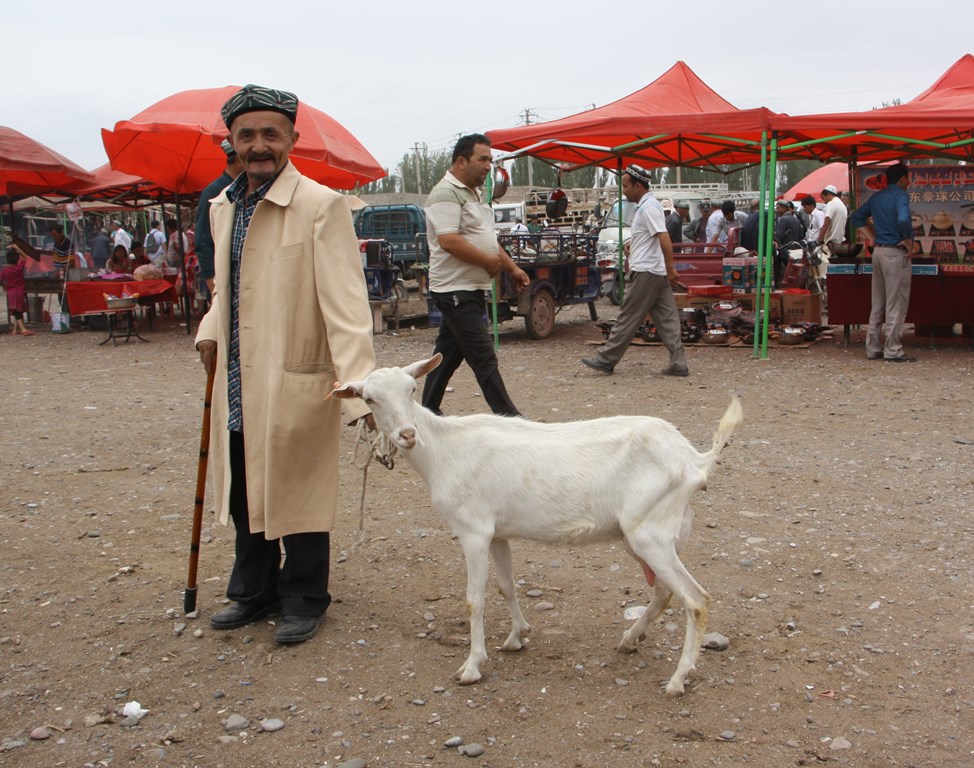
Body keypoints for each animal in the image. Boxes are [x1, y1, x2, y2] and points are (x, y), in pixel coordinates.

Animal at [332, 354, 744, 696]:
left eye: (412, 389)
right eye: (369, 399)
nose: (407, 434)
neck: (444, 452)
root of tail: (694, 459)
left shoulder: (473, 531)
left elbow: (474, 600)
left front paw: (472, 666)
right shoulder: (496, 533)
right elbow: (506, 586)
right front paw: (517, 636)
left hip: (650, 534)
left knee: (697, 600)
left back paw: (677, 679)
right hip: (660, 534)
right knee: (663, 592)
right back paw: (630, 640)